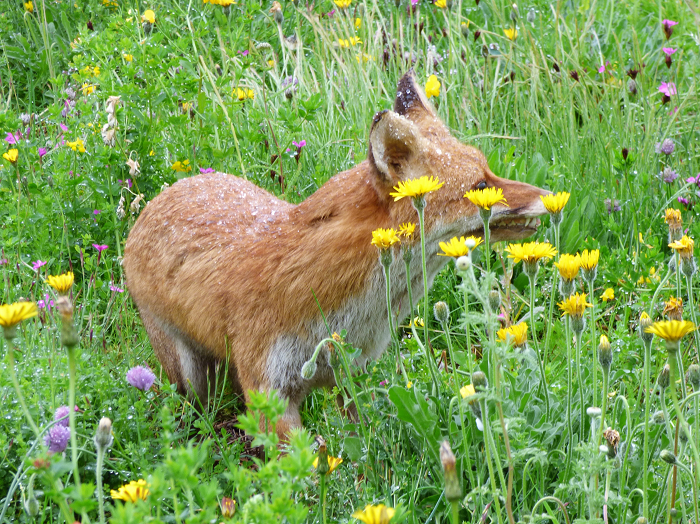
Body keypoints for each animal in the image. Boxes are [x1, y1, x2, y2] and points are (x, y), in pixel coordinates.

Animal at [123, 70, 548, 439]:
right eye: (480, 186)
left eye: (488, 170)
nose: (551, 196)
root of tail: (163, 195)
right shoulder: (268, 392)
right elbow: (301, 474)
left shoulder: (355, 375)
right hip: (190, 380)